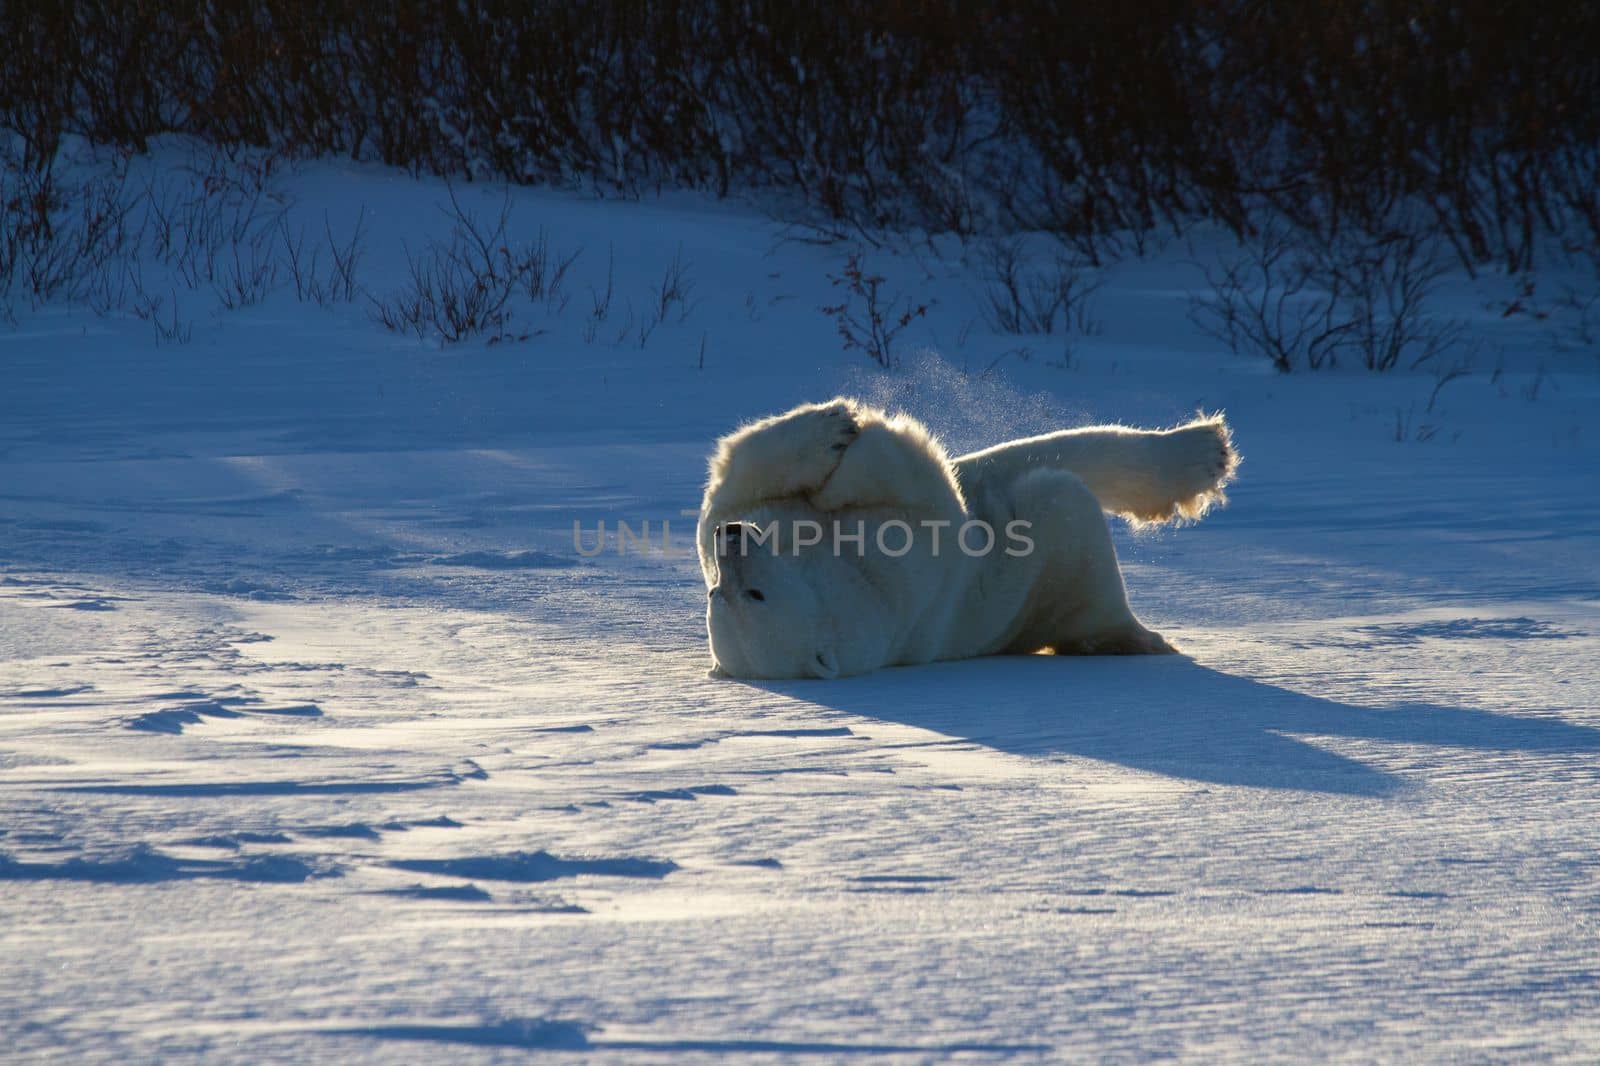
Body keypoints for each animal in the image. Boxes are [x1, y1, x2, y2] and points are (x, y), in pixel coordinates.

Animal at [694, 393, 1228, 675]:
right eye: (737, 593)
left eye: (719, 591)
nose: (733, 537)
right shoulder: (894, 582)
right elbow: (921, 492)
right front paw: (859, 438)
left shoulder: (767, 523)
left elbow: (734, 483)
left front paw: (835, 428)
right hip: (1055, 575)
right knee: (1059, 501)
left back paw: (1201, 447)